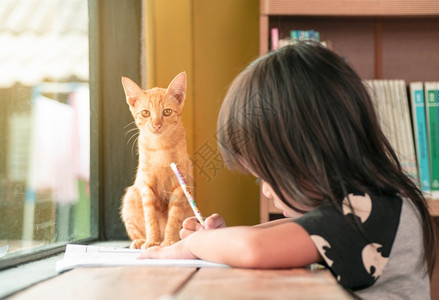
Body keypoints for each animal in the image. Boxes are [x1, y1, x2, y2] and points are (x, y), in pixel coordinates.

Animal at [122, 72, 194, 248]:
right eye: (145, 113)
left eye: (167, 112)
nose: (156, 125)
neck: (160, 147)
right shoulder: (147, 186)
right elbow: (150, 218)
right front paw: (152, 241)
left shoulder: (179, 187)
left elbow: (173, 218)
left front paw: (169, 242)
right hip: (130, 197)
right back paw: (140, 241)